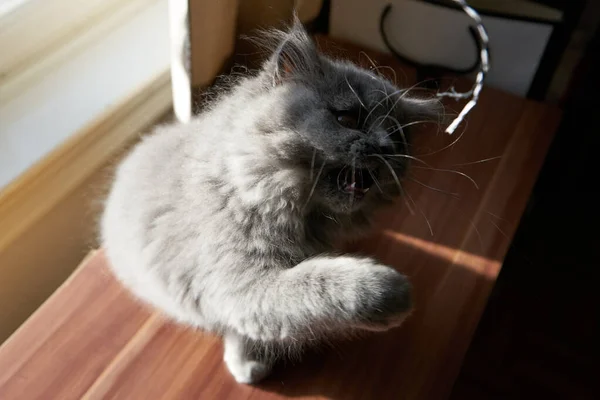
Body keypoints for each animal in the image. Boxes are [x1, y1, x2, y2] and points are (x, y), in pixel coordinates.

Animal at [102, 20, 440, 382]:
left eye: (397, 138)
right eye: (347, 119)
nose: (385, 148)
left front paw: (246, 364)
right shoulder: (240, 283)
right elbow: (316, 282)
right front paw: (392, 292)